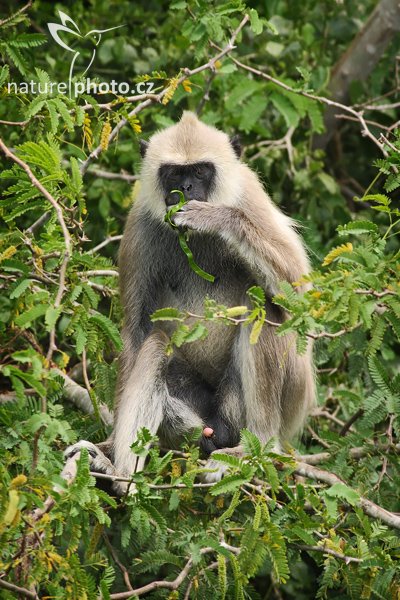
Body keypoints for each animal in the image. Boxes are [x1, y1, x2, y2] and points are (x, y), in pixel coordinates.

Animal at [65, 112, 316, 486]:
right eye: (173, 173)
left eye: (199, 172)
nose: (184, 190)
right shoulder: (141, 224)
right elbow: (136, 331)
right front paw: (110, 449)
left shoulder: (248, 196)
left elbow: (300, 300)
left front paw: (215, 219)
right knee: (156, 344)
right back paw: (122, 475)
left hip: (278, 402)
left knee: (264, 305)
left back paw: (258, 448)